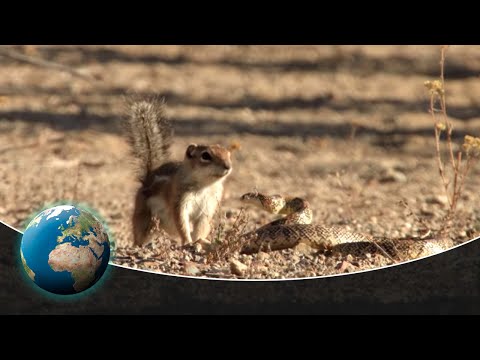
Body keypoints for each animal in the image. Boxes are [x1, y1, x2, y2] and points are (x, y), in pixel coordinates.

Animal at [124, 95, 232, 246]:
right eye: (205, 156)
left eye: (228, 154)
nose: (228, 166)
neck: (204, 185)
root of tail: (148, 176)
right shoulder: (179, 200)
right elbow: (181, 222)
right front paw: (187, 241)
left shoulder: (208, 206)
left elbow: (202, 225)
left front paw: (199, 240)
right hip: (144, 218)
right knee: (139, 235)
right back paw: (139, 246)